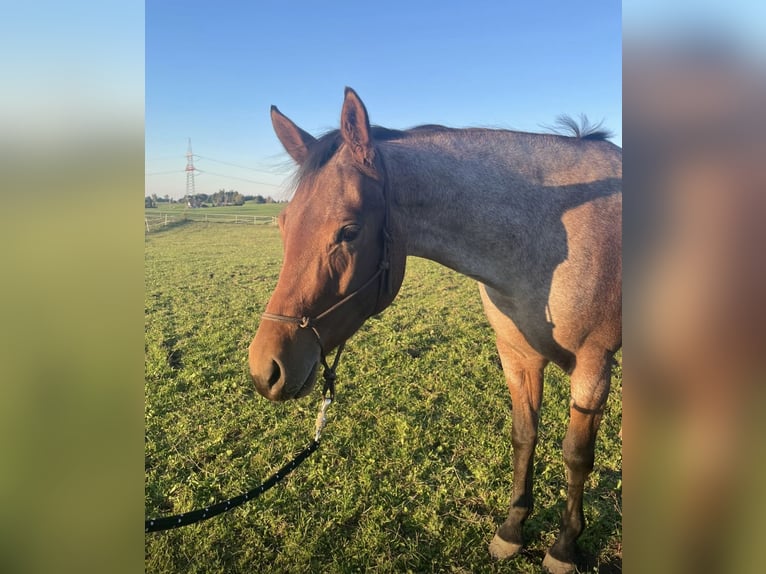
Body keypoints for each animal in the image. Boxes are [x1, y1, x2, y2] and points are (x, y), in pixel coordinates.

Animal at [249, 87, 621, 574]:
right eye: (283, 224)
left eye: (349, 231)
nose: (265, 369)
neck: (549, 238)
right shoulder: (517, 356)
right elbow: (524, 437)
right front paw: (512, 530)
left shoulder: (594, 368)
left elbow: (576, 456)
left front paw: (563, 548)